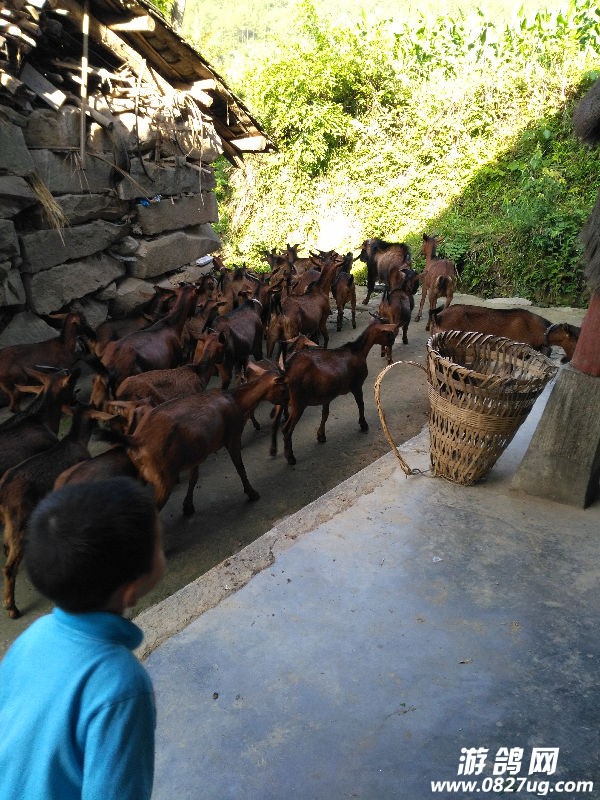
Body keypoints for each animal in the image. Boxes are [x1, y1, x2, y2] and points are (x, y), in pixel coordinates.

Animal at [1, 405, 112, 618]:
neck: (75, 439)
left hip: (10, 523)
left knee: (5, 546)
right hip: (20, 521)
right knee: (9, 566)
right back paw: (12, 608)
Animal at [125, 368, 288, 516]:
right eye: (283, 388)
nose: (287, 404)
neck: (236, 400)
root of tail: (137, 440)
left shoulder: (196, 454)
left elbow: (194, 478)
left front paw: (188, 506)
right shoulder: (233, 437)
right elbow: (240, 467)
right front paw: (252, 493)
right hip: (163, 478)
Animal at [281, 318, 399, 465]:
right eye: (387, 332)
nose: (393, 340)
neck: (357, 351)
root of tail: (288, 369)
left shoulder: (326, 396)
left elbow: (325, 414)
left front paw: (321, 435)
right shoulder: (356, 385)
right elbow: (361, 404)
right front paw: (363, 424)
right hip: (299, 403)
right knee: (286, 430)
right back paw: (290, 457)